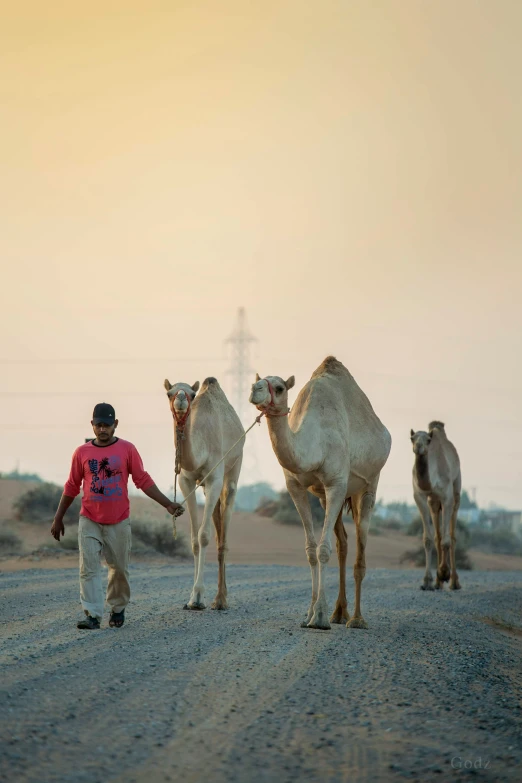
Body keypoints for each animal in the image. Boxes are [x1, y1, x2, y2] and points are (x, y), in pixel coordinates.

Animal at [162, 376, 244, 608]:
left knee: (223, 535)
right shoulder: (186, 480)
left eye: (191, 393)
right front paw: (192, 597)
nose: (180, 399)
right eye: (169, 393)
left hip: (235, 465)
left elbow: (205, 535)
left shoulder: (215, 477)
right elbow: (194, 540)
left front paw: (199, 597)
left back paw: (221, 600)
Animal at [248, 356, 390, 632]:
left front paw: (320, 617)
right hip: (327, 497)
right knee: (343, 542)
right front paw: (309, 614)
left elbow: (323, 549)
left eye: (279, 387)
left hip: (368, 484)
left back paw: (356, 619)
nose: (254, 389)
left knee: (360, 546)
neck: (315, 445)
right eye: (258, 380)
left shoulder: (336, 483)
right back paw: (340, 613)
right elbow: (311, 549)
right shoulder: (296, 487)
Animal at [408, 420, 462, 592]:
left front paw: (444, 573)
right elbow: (428, 539)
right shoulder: (420, 496)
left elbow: (446, 540)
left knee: (452, 536)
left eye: (428, 440)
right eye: (412, 438)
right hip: (433, 502)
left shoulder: (447, 497)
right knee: (438, 535)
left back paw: (454, 582)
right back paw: (438, 583)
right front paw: (427, 581)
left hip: (456, 491)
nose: (418, 447)